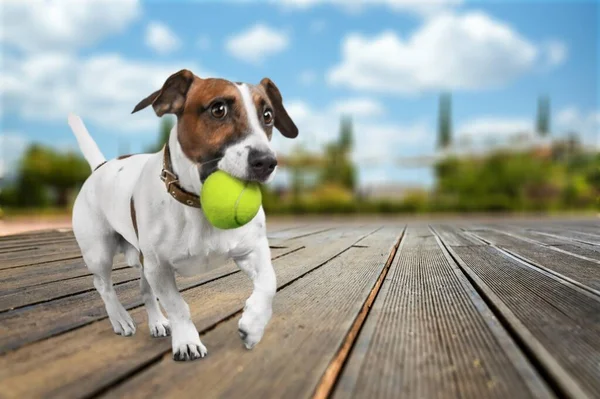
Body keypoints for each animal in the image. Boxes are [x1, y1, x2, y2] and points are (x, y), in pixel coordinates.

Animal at [67, 70, 298, 360]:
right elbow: (178, 307)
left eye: (267, 115)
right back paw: (120, 319)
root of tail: (101, 166)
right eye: (218, 109)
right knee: (104, 286)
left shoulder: (252, 250)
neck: (198, 206)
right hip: (99, 252)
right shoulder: (159, 268)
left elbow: (269, 282)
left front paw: (253, 325)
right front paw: (187, 341)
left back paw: (156, 322)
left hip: (141, 260)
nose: (266, 162)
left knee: (144, 290)